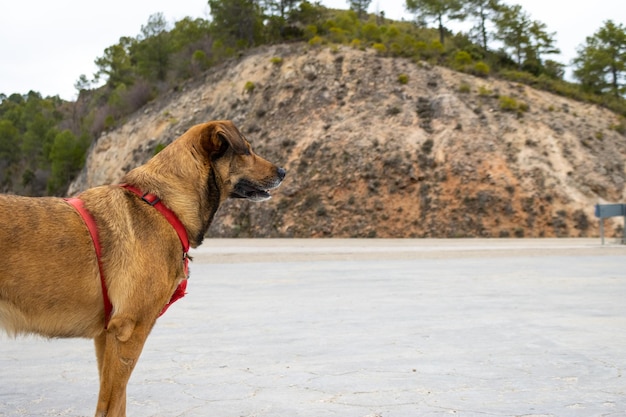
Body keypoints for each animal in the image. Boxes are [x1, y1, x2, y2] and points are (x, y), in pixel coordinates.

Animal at [0, 120, 286, 416]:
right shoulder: (129, 330)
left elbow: (118, 401)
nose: (283, 171)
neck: (164, 205)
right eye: (247, 150)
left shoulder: (107, 337)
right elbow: (111, 404)